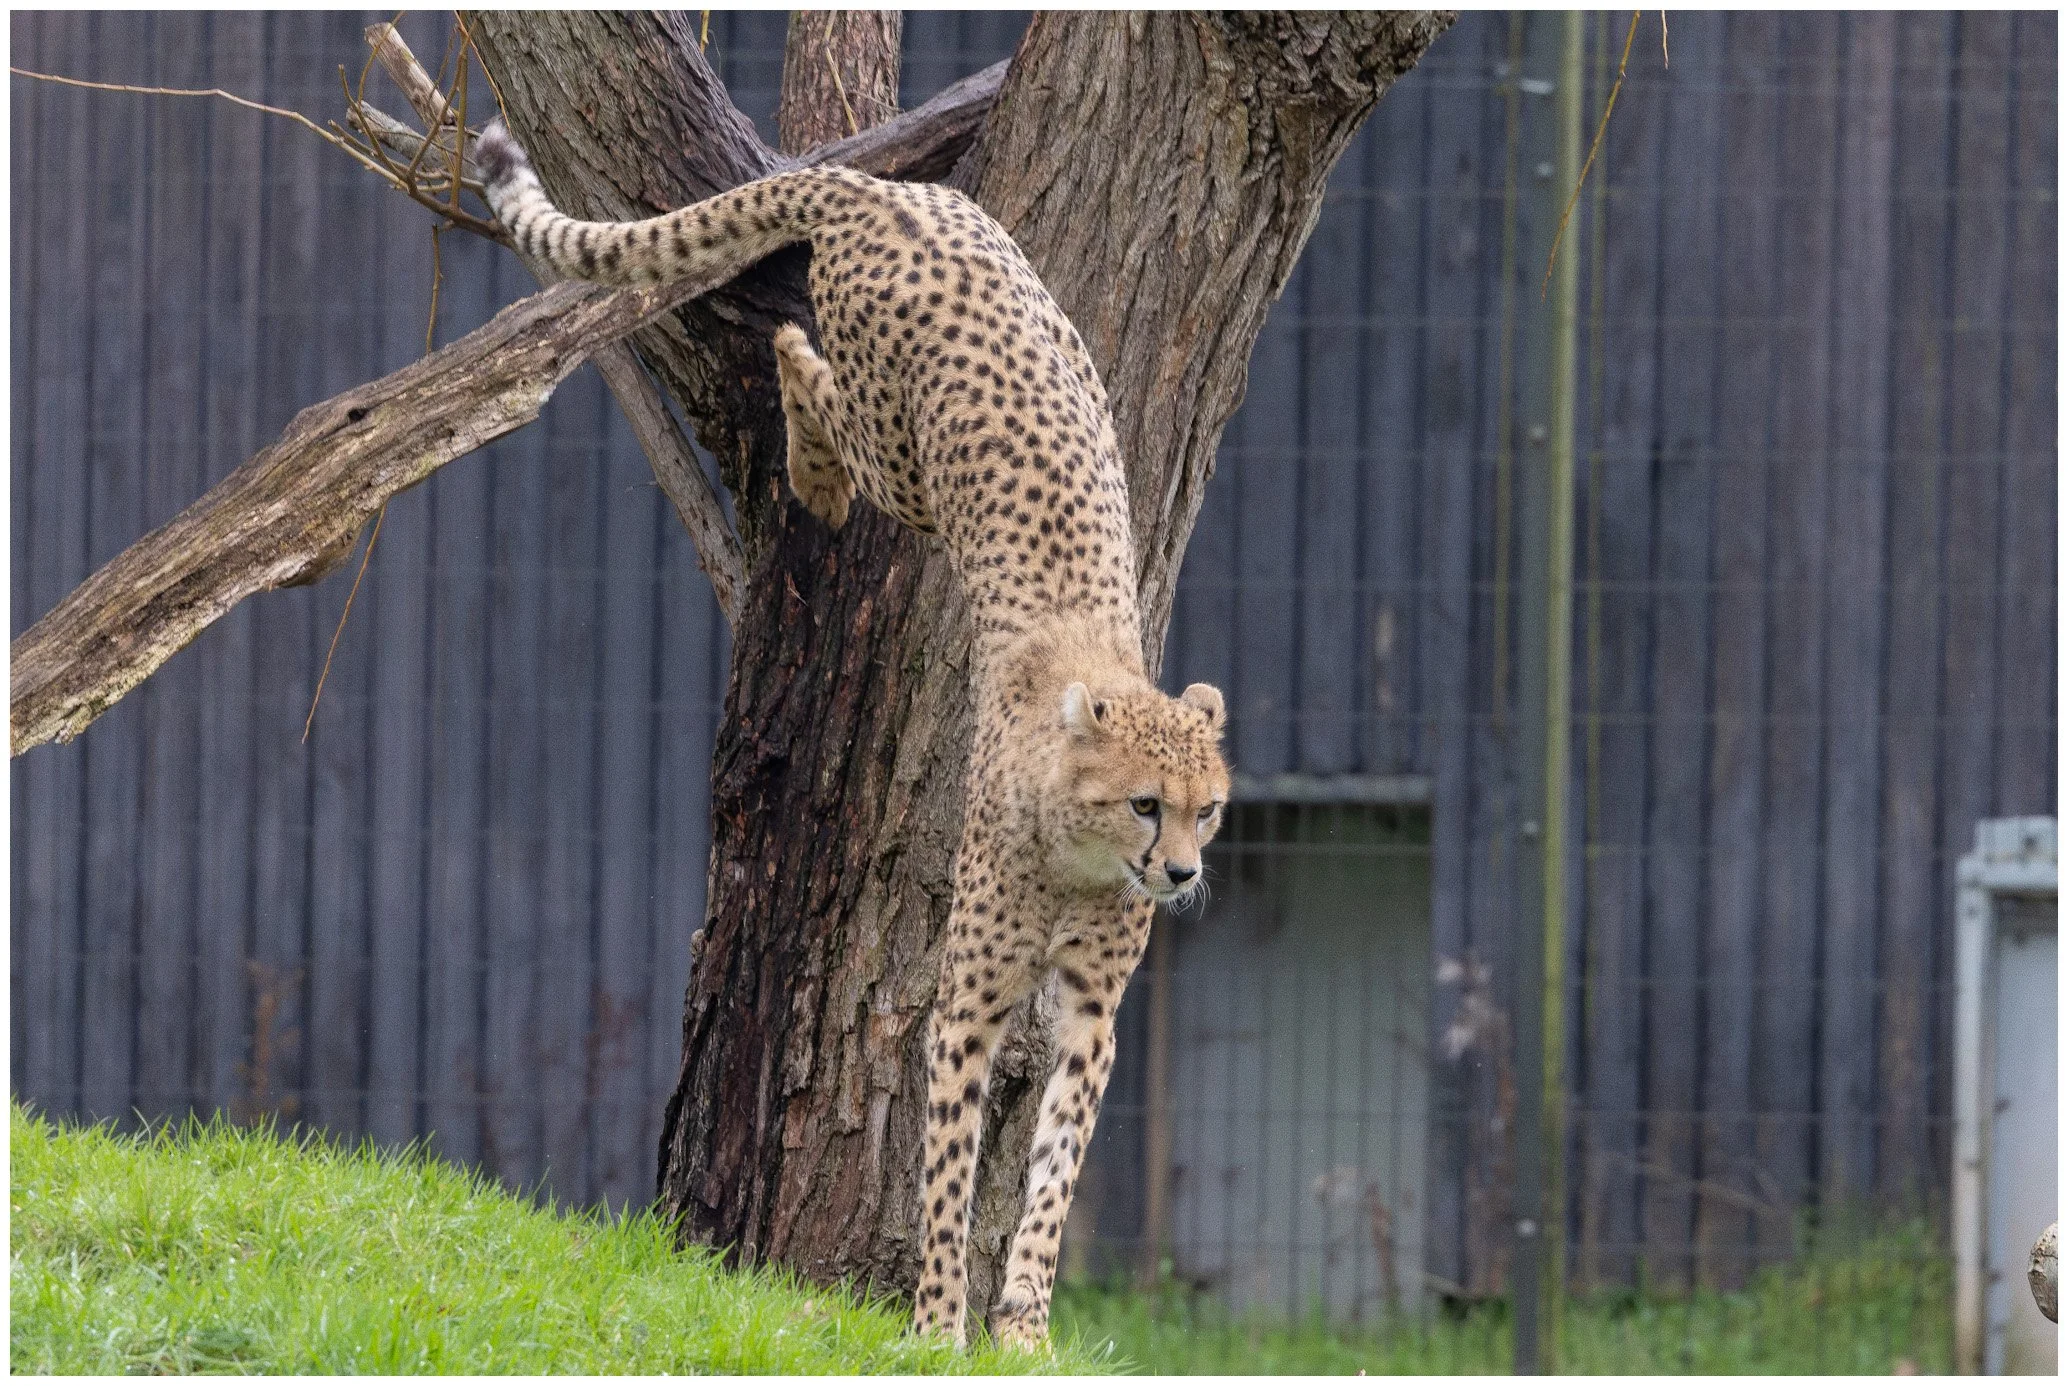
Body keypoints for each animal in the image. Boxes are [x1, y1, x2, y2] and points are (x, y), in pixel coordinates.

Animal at [477, 120, 1230, 1351]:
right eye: (1142, 803)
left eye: (1206, 810)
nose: (1178, 873)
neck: (1078, 855)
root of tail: (882, 191)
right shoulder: (967, 1004)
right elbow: (947, 1167)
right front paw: (936, 1326)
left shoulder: (1089, 1017)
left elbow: (1054, 1173)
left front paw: (1024, 1326)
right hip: (904, 454)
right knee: (808, 370)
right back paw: (810, 459)